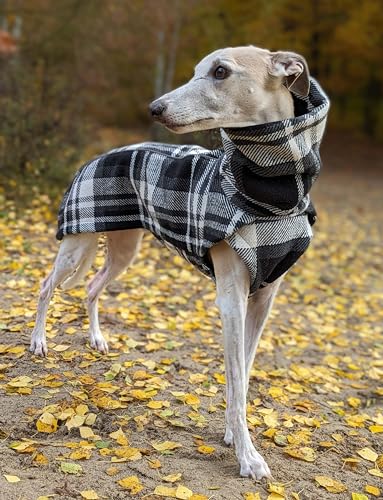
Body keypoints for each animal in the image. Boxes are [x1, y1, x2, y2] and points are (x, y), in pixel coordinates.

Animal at [30, 47, 330, 480]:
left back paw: (97, 338)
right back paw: (38, 342)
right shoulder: (231, 299)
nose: (155, 108)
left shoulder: (263, 299)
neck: (269, 193)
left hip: (124, 249)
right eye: (197, 70)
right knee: (46, 286)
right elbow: (237, 377)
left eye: (220, 71)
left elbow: (243, 373)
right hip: (76, 244)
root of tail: (95, 158)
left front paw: (232, 435)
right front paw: (249, 457)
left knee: (91, 287)